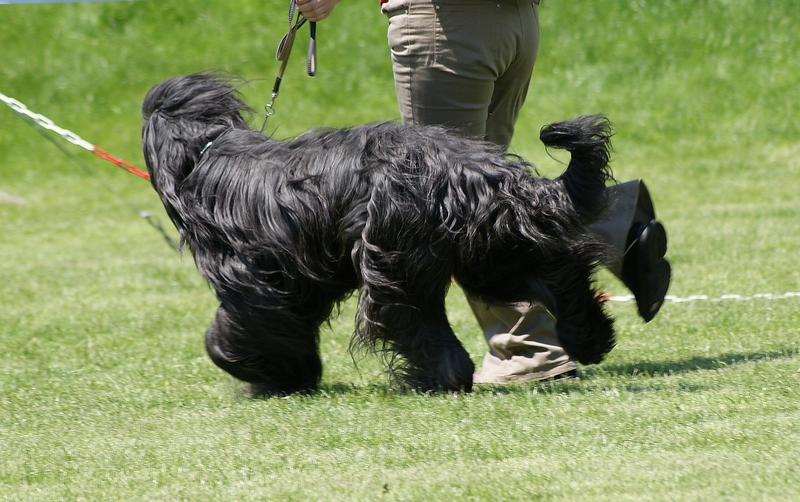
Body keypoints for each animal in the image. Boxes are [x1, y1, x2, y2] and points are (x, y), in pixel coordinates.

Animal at [144, 73, 616, 396]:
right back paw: (589, 337)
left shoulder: (254, 282)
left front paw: (269, 375)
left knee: (409, 317)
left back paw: (435, 379)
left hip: (397, 256)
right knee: (559, 274)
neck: (206, 151)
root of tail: (477, 172)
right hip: (494, 255)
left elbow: (240, 328)